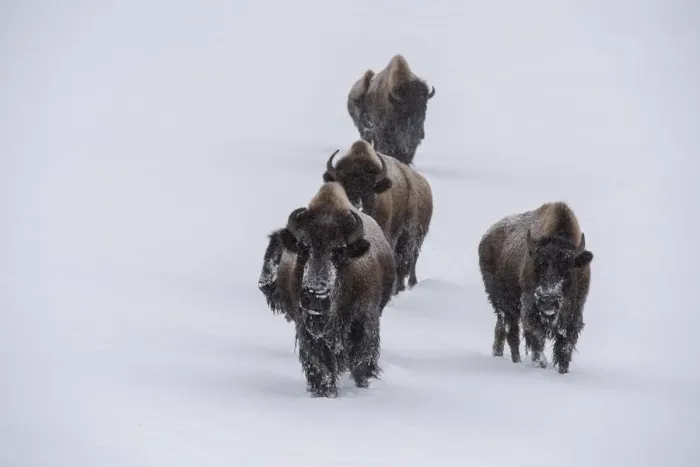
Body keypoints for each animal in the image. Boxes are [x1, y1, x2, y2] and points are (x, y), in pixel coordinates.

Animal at [274, 181, 396, 397]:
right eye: (303, 247)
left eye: (339, 251)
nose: (315, 297)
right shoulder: (306, 329)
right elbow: (319, 365)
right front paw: (325, 392)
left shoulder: (364, 322)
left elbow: (360, 361)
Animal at [322, 139, 433, 295]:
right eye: (343, 184)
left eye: (369, 187)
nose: (356, 207)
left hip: (413, 236)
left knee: (409, 260)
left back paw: (404, 286)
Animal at [477, 202, 594, 374]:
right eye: (538, 265)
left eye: (568, 268)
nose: (548, 300)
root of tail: (487, 236)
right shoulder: (530, 310)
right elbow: (536, 339)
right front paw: (541, 364)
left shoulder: (573, 315)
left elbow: (564, 347)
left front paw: (563, 372)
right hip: (504, 304)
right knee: (512, 334)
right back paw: (516, 362)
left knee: (501, 329)